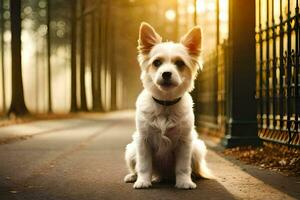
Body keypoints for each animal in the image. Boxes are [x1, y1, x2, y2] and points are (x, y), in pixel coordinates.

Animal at [124, 21, 213, 189]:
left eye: (179, 63)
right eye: (157, 63)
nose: (166, 73)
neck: (165, 104)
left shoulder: (185, 142)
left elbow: (183, 167)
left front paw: (184, 182)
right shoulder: (143, 141)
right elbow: (144, 165)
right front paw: (143, 181)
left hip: (197, 148)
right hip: (131, 149)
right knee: (139, 168)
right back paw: (134, 176)